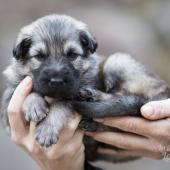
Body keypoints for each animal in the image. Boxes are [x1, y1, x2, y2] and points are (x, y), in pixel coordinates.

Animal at [0, 14, 170, 170]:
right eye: (40, 56)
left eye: (72, 55)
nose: (56, 81)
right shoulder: (8, 106)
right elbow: (27, 90)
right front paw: (33, 106)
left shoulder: (71, 94)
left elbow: (61, 105)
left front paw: (48, 128)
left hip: (117, 61)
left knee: (131, 97)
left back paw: (92, 97)